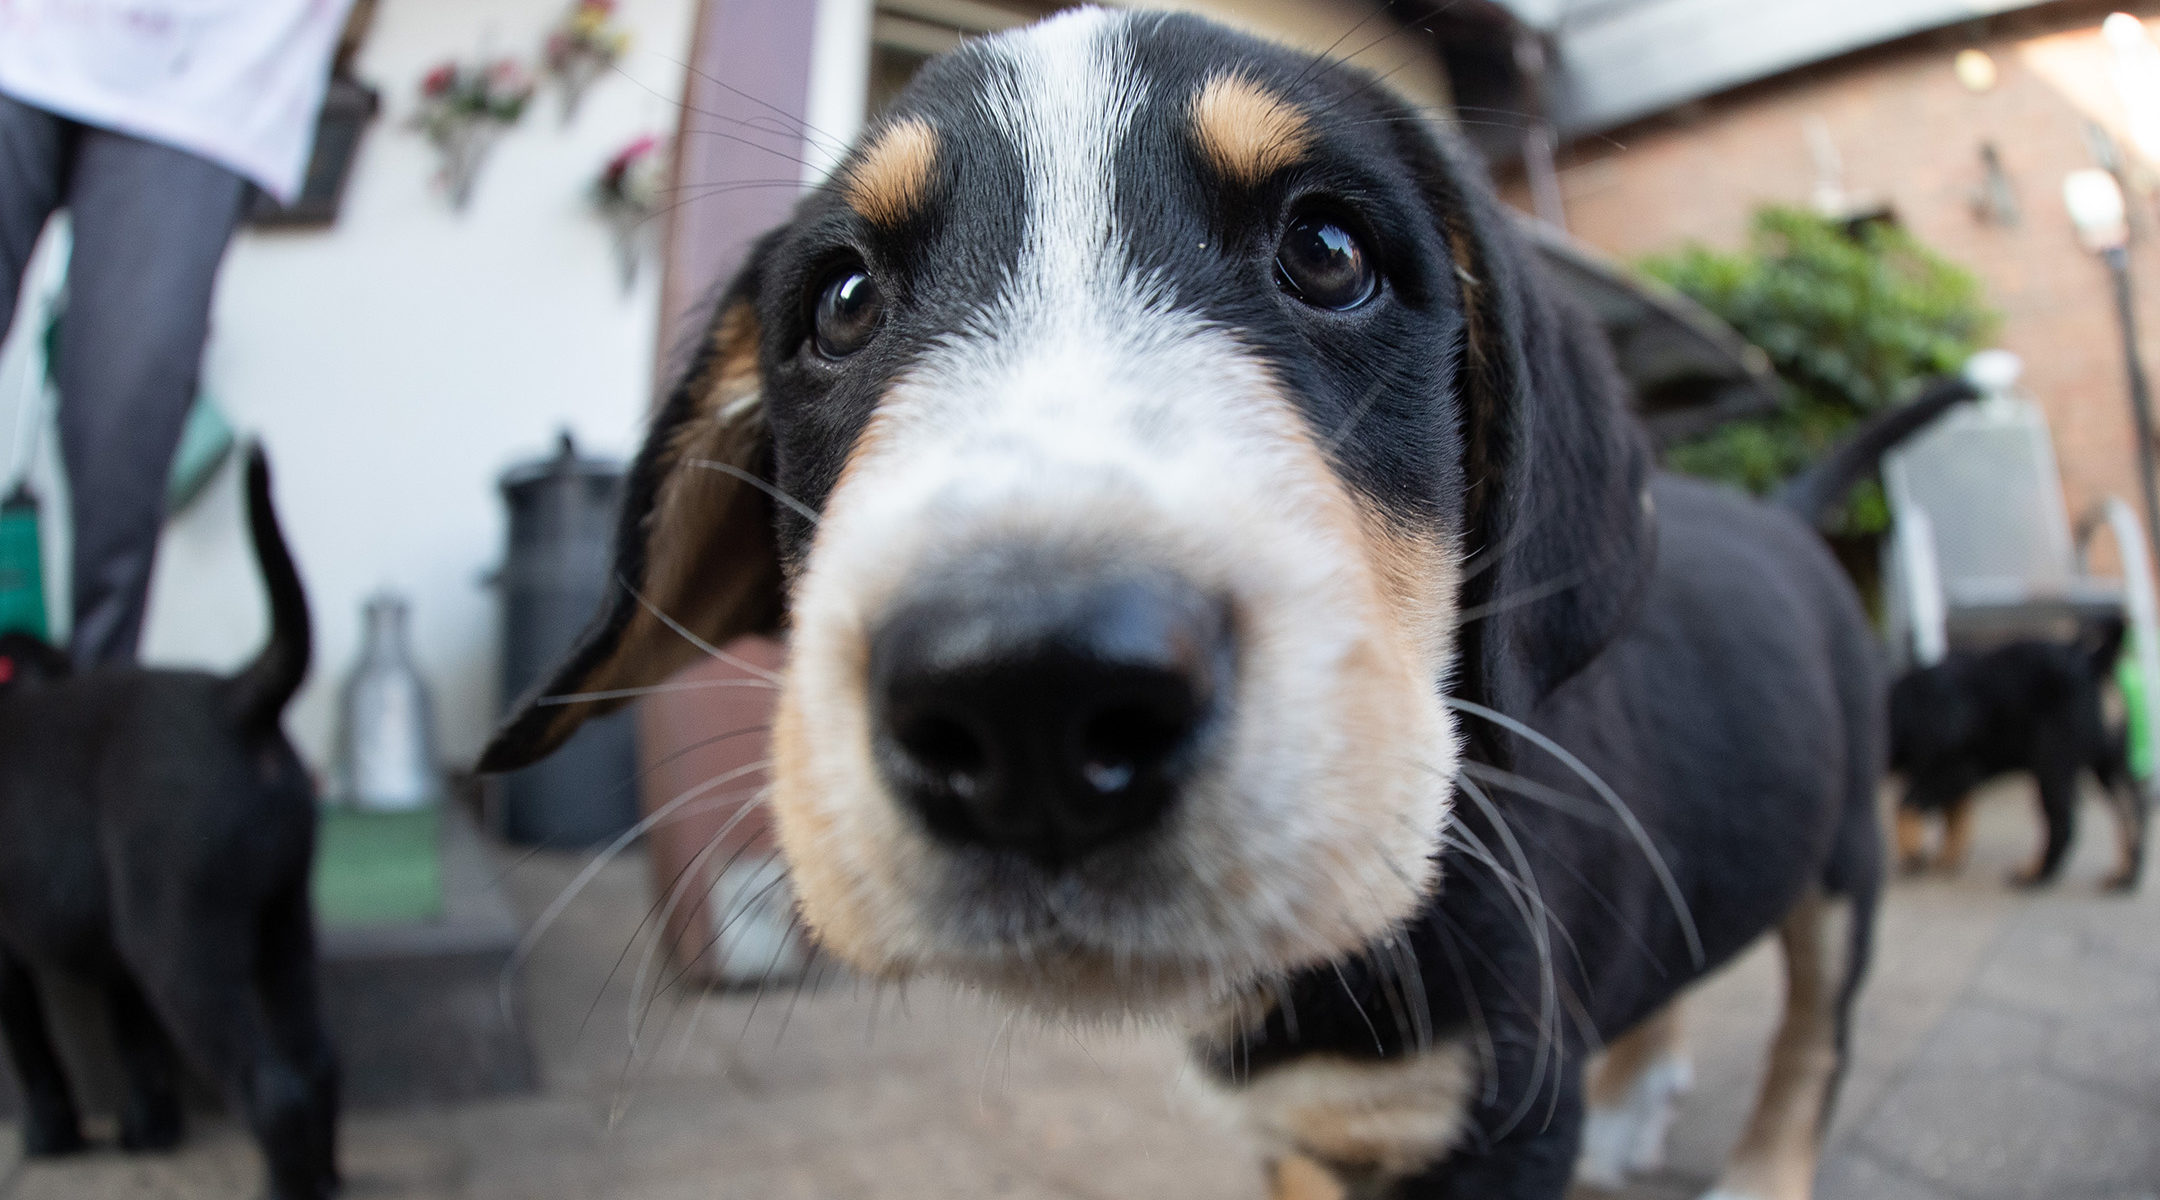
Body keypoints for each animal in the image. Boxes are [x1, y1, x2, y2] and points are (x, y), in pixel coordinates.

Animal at [0, 448, 334, 1200]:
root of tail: (237, 699)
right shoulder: (114, 947)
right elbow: (137, 1043)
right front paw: (149, 1131)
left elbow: (33, 1052)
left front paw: (51, 1138)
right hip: (283, 918)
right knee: (315, 1062)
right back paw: (327, 1176)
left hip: (179, 945)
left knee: (273, 1089)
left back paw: (286, 1188)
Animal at [481, 11, 1883, 1200]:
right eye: (843, 301)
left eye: (1328, 251)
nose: (1031, 700)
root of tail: (1786, 510)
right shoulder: (1301, 1142)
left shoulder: (1496, 1116)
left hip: (1845, 859)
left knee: (1816, 1039)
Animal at [1892, 617, 2142, 889]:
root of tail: (2091, 662)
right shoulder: (1954, 777)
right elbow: (1956, 815)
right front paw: (1948, 857)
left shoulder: (1951, 770)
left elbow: (1908, 804)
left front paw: (1913, 852)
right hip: (2103, 759)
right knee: (2130, 809)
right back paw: (2124, 875)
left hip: (2052, 760)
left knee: (2063, 822)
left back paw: (2035, 874)